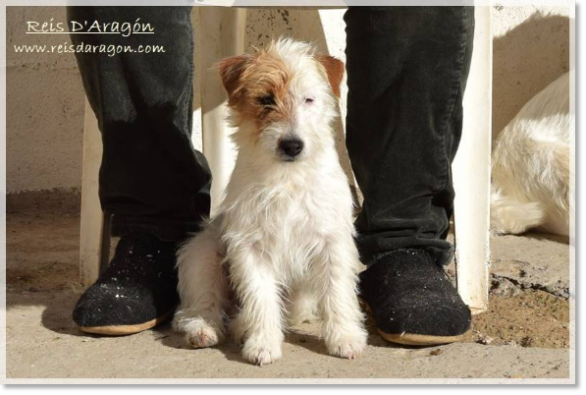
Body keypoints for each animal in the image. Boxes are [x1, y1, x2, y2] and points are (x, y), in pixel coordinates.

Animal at [171, 38, 368, 366]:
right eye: (265, 99)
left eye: (308, 100)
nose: (291, 145)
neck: (286, 179)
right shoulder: (250, 247)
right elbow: (260, 296)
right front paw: (263, 342)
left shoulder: (332, 243)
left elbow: (337, 293)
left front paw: (345, 337)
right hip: (203, 252)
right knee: (202, 304)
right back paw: (204, 328)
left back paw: (240, 325)